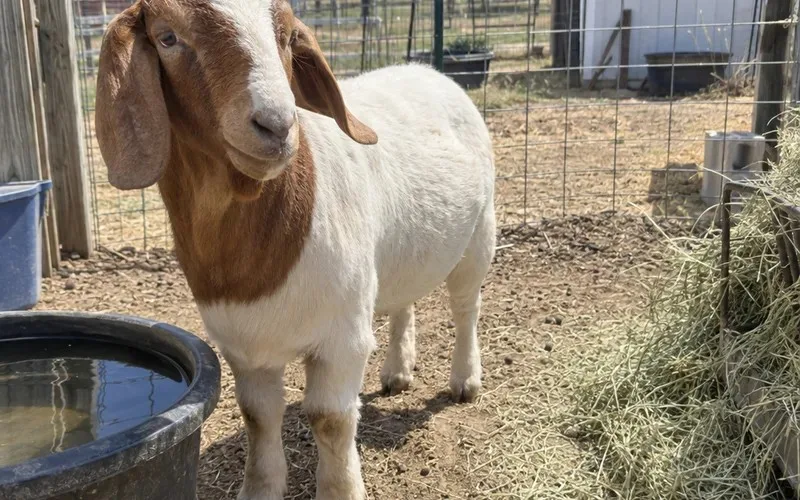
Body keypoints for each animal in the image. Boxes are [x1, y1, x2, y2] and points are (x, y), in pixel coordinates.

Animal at [95, 1, 495, 498]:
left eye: (286, 37)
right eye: (167, 37)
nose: (277, 124)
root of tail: (426, 71)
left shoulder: (342, 337)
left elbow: (329, 420)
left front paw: (341, 490)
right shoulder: (241, 344)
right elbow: (257, 415)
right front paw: (259, 489)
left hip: (480, 233)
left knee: (466, 307)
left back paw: (465, 380)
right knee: (404, 301)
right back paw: (397, 372)